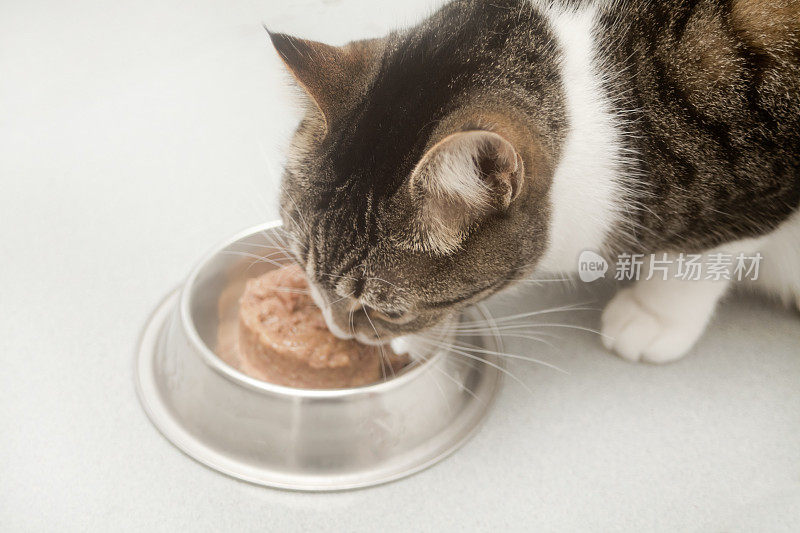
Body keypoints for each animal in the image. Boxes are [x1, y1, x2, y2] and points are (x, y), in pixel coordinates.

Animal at [270, 0, 800, 362]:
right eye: (303, 268)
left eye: (388, 311)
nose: (337, 331)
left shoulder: (757, 195)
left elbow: (698, 258)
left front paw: (651, 315)